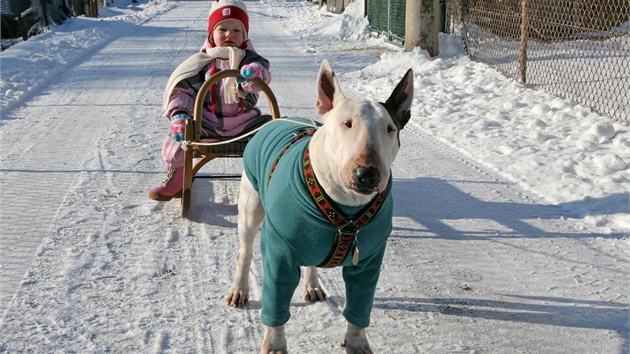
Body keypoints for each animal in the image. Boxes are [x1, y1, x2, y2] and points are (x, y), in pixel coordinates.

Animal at [227, 59, 414, 352]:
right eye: (347, 123)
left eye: (389, 128)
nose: (367, 174)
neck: (346, 209)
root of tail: (277, 119)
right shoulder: (279, 256)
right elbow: (276, 305)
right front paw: (275, 345)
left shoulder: (369, 261)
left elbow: (360, 305)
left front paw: (357, 342)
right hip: (250, 204)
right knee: (244, 252)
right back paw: (240, 289)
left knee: (311, 261)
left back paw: (312, 285)